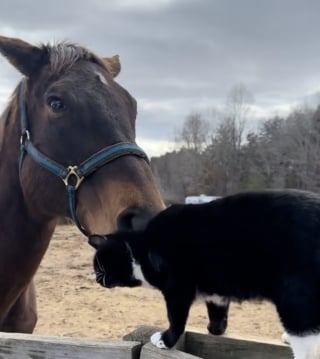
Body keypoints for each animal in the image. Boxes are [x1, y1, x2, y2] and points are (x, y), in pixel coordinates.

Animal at [89, 190, 320, 358]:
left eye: (98, 265)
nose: (97, 278)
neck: (142, 249)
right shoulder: (216, 291)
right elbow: (217, 312)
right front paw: (215, 330)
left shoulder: (177, 289)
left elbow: (175, 319)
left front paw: (165, 340)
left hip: (295, 301)